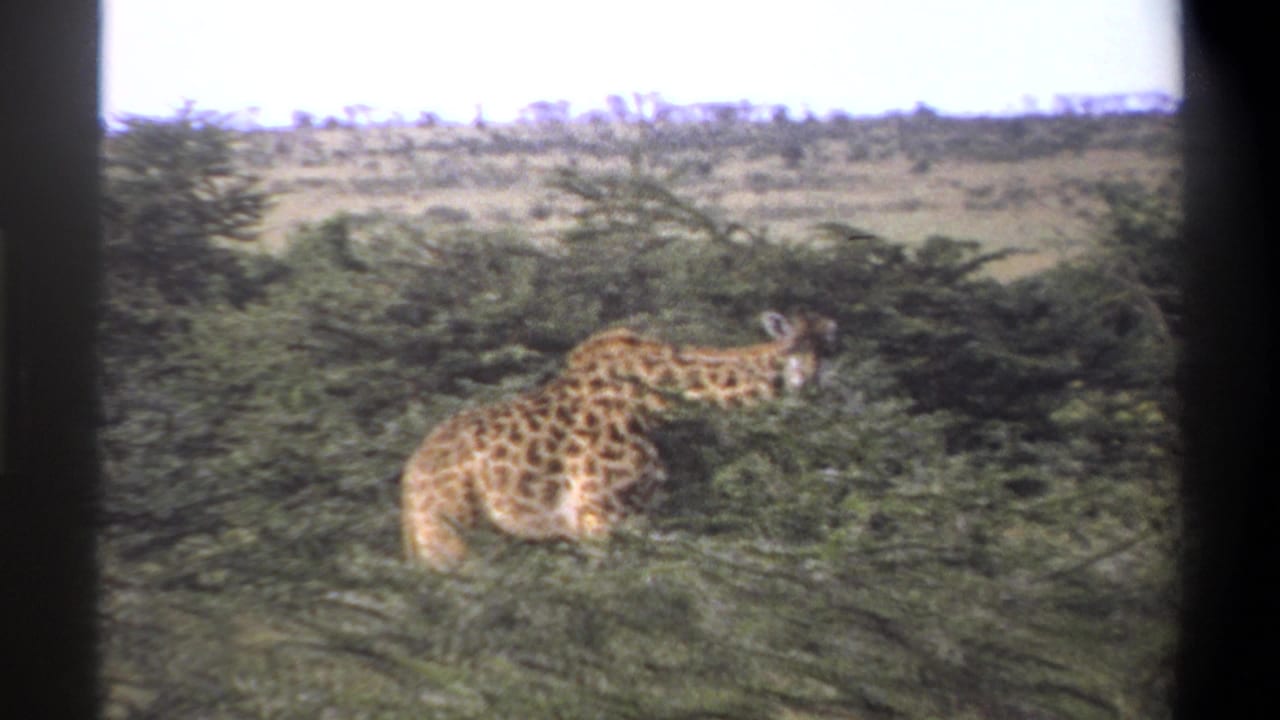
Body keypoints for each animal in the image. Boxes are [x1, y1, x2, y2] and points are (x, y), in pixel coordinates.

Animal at [400, 310, 838, 570]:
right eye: (790, 346)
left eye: (831, 349)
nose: (808, 384)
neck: (661, 402)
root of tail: (409, 481)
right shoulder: (599, 515)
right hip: (451, 540)